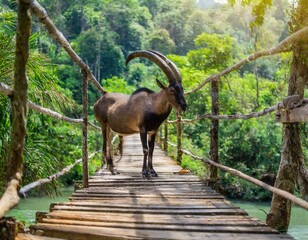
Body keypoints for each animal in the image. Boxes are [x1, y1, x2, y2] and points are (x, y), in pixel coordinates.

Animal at [92, 50, 186, 178]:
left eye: (182, 89)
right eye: (172, 90)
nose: (184, 106)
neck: (152, 104)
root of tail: (97, 103)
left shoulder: (153, 131)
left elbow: (151, 150)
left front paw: (152, 171)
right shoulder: (142, 129)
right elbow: (145, 149)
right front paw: (144, 172)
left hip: (110, 128)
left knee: (109, 145)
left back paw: (113, 168)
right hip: (103, 124)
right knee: (105, 145)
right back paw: (112, 170)